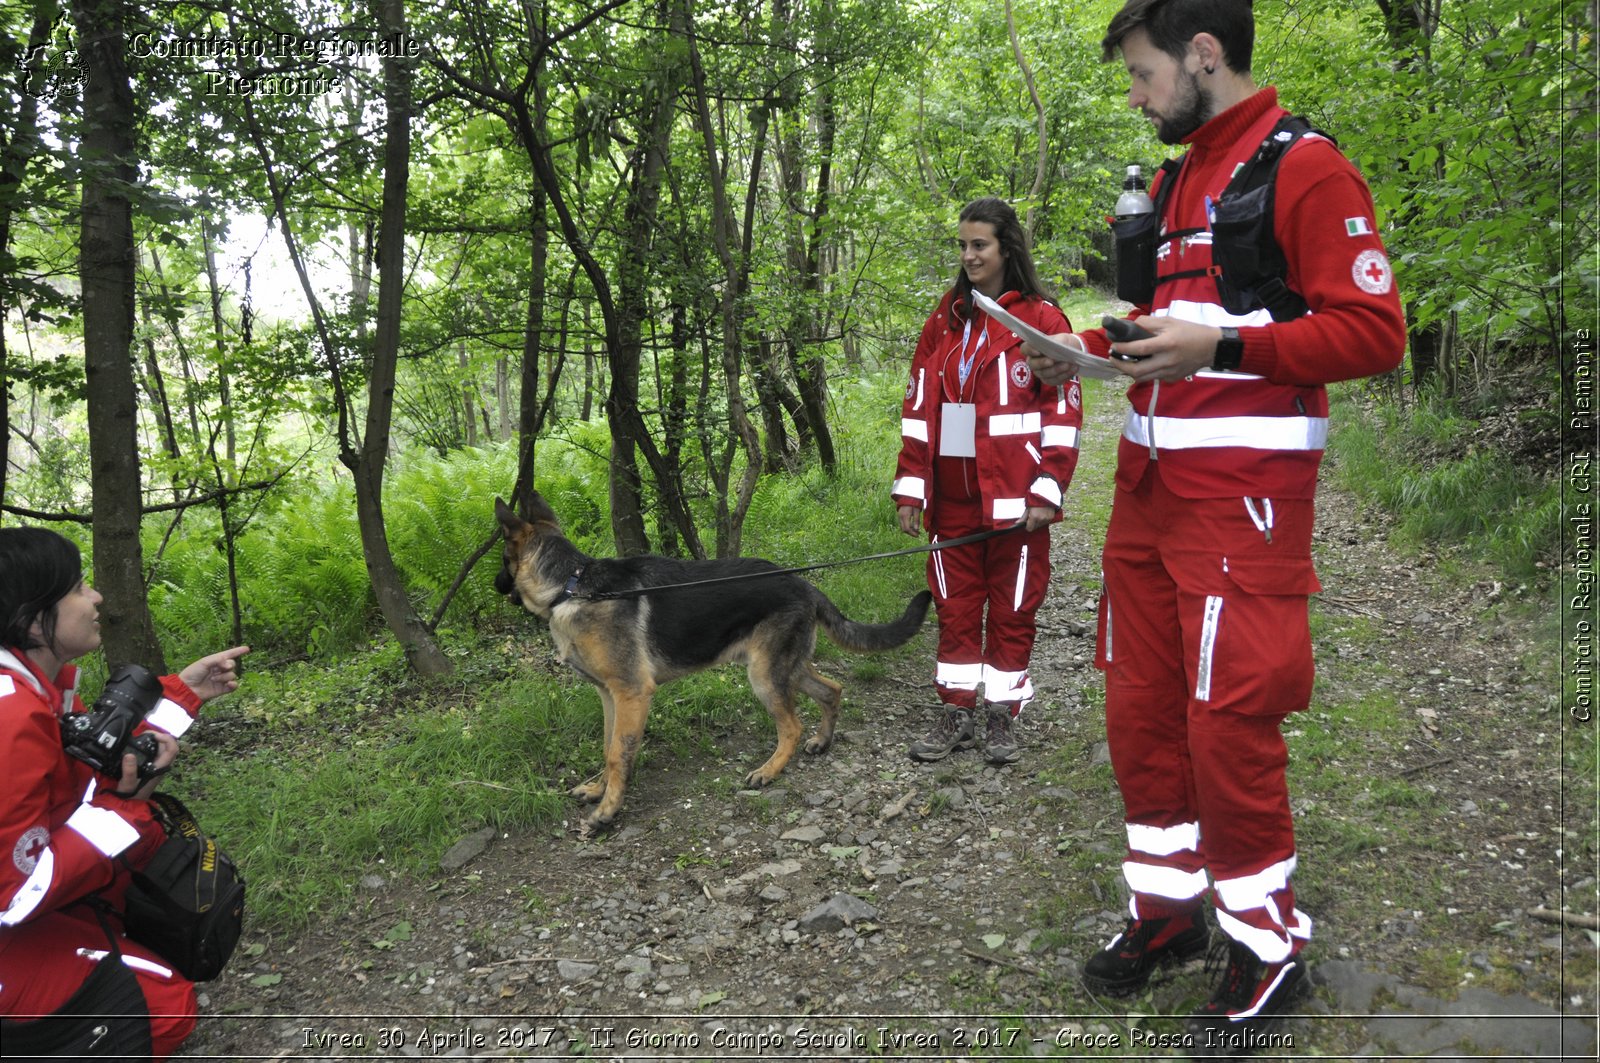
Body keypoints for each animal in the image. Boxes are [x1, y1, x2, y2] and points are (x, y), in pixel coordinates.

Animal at [492, 493, 934, 832]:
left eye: (502, 557)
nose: (495, 585)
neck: (571, 586)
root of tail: (803, 582)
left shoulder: (632, 694)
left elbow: (619, 752)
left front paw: (607, 811)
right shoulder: (608, 696)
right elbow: (607, 746)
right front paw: (599, 789)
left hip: (763, 676)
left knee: (791, 725)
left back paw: (769, 770)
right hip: (782, 667)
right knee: (831, 690)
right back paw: (822, 741)